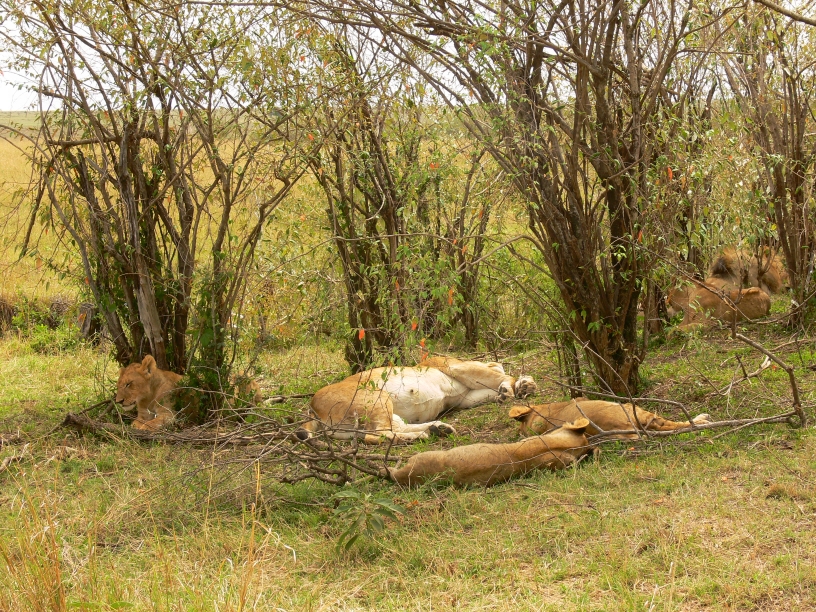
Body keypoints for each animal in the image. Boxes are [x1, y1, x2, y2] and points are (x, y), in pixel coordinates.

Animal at [115, 355, 263, 430]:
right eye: (118, 385)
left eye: (128, 384)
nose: (118, 402)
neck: (147, 398)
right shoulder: (143, 415)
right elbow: (136, 423)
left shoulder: (169, 415)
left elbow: (147, 424)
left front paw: (140, 428)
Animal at [299, 356, 538, 444]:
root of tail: (311, 406)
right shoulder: (454, 366)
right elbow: (499, 375)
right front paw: (519, 385)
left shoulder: (465, 398)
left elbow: (492, 384)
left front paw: (516, 387)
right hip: (376, 397)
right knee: (376, 435)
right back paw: (423, 434)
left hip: (373, 415)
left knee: (391, 429)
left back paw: (438, 429)